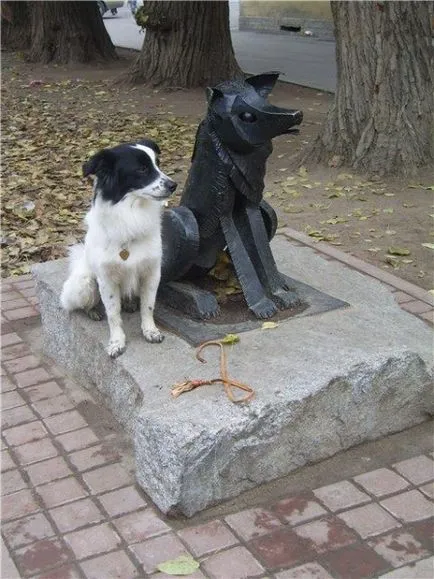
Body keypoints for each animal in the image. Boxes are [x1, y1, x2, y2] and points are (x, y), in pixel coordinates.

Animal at [60, 140, 177, 358]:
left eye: (158, 164)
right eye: (142, 169)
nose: (174, 185)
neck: (131, 214)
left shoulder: (151, 273)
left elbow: (148, 306)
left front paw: (150, 331)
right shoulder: (106, 280)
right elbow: (113, 314)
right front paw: (116, 342)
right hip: (84, 284)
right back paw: (93, 311)